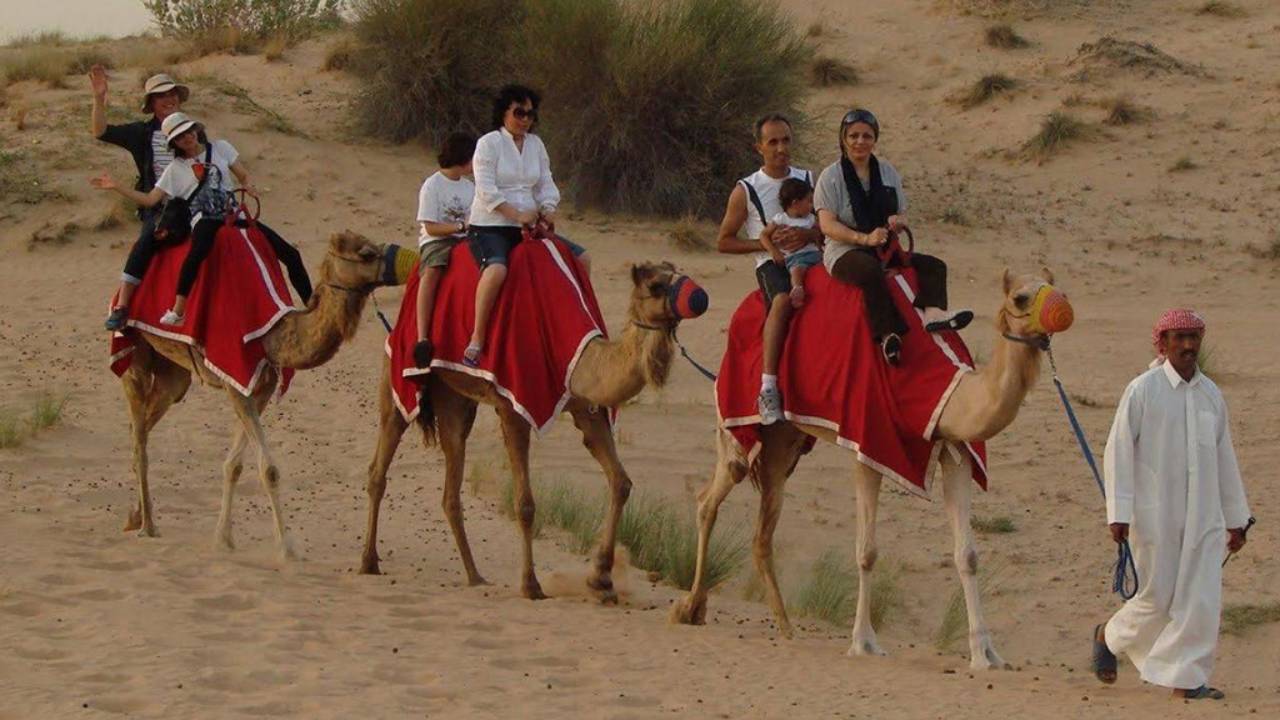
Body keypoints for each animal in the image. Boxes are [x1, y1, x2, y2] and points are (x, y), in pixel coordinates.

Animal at [119, 231, 409, 560]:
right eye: (365, 253)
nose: (407, 261)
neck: (273, 335)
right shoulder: (236, 383)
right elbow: (268, 469)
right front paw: (287, 548)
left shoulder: (262, 388)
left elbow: (234, 465)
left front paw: (224, 539)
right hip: (136, 353)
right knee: (139, 433)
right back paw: (148, 526)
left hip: (174, 375)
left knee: (143, 424)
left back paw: (135, 515)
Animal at [360, 262, 704, 603]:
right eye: (656, 285)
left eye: (676, 271)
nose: (700, 297)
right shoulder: (514, 407)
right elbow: (525, 504)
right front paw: (531, 585)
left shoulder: (586, 407)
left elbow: (621, 483)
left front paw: (602, 581)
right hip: (398, 374)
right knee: (380, 464)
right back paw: (369, 562)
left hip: (454, 397)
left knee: (450, 485)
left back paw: (475, 576)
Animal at [673, 268, 1073, 671]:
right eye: (1021, 297)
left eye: (1057, 289)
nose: (1062, 313)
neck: (941, 389)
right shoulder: (869, 444)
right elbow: (866, 551)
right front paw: (863, 643)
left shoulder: (955, 448)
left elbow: (968, 555)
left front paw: (985, 655)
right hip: (738, 420)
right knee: (712, 495)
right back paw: (690, 608)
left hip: (784, 442)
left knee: (762, 526)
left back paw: (784, 625)